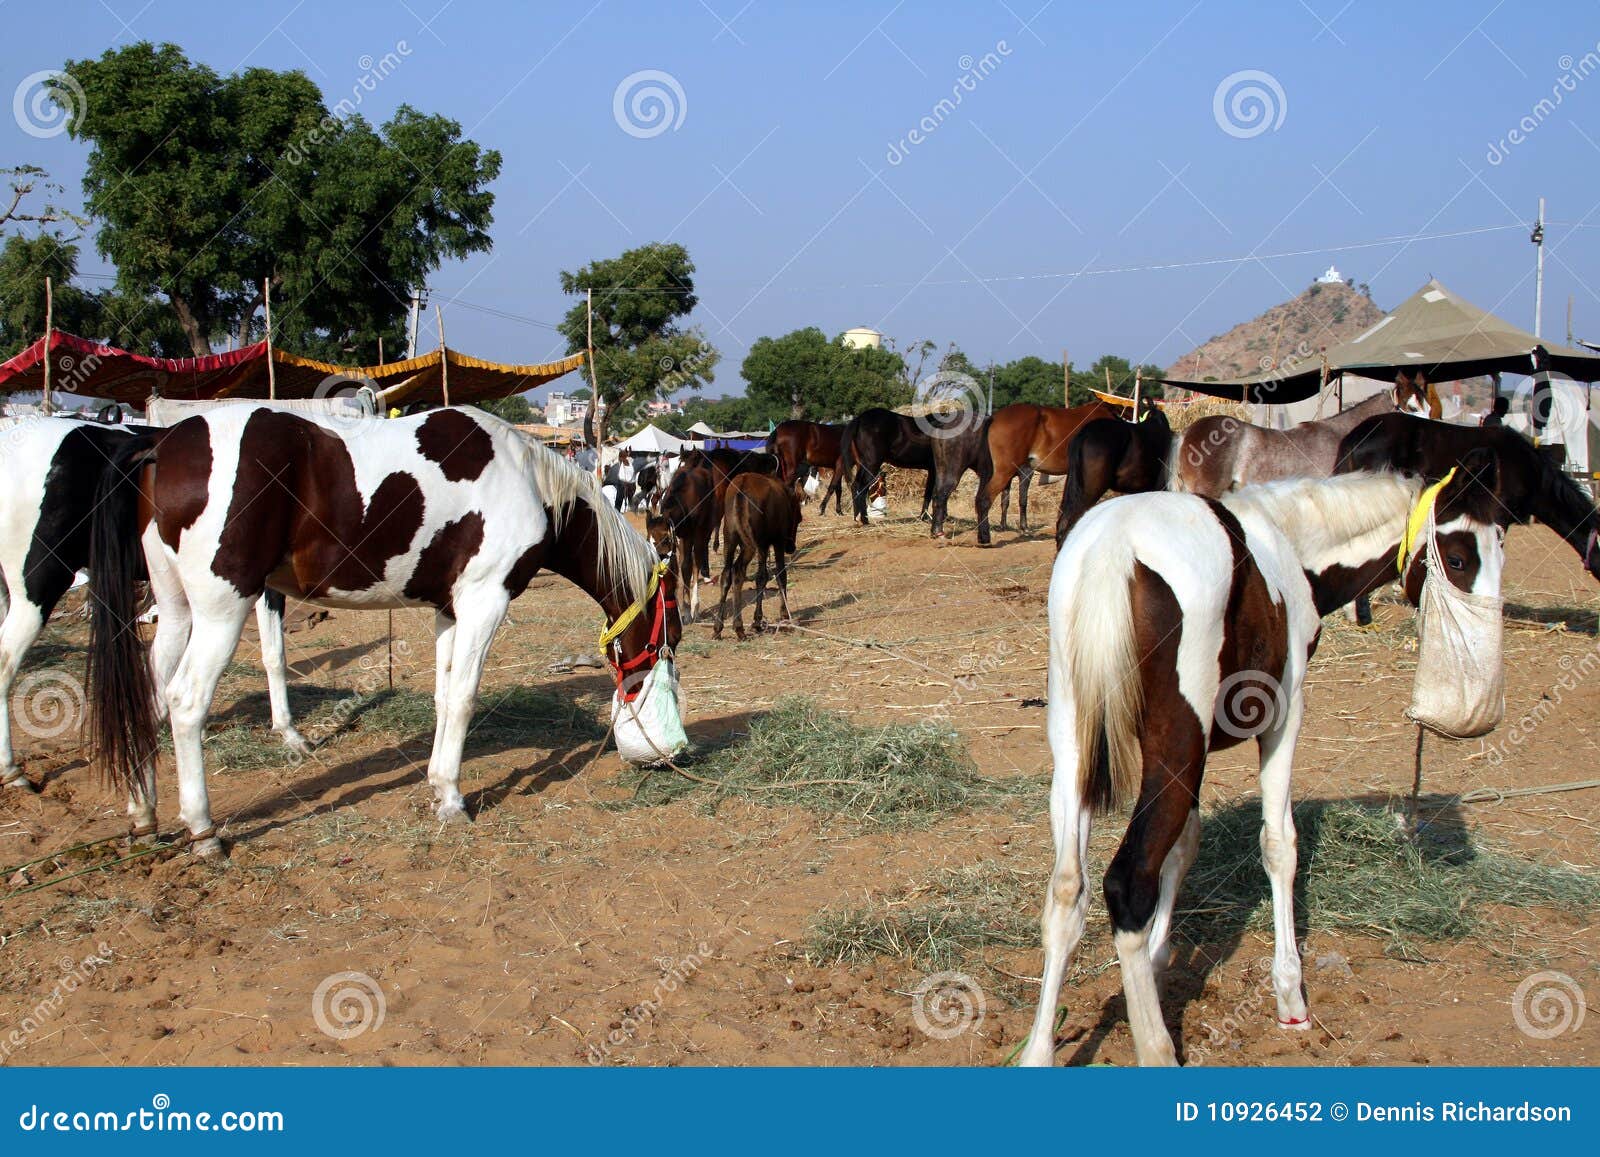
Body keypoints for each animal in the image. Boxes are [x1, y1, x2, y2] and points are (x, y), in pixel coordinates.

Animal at [85, 406, 685, 859]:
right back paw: (203, 830)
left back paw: (144, 812)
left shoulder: (450, 610)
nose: (671, 752)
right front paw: (453, 800)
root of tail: (162, 445)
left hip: (176, 609)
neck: (528, 482)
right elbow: (463, 698)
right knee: (185, 702)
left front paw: (439, 784)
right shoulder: (485, 601)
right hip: (221, 610)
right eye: (671, 635)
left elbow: (444, 696)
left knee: (149, 696)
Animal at [713, 473, 801, 640]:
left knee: (728, 574)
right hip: (755, 543)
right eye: (799, 518)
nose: (791, 547)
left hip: (730, 538)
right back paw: (747, 624)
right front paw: (781, 615)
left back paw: (721, 627)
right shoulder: (776, 541)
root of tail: (740, 489)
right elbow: (778, 575)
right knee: (749, 573)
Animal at [1018, 452, 1507, 1067]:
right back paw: (1156, 1048)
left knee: (1067, 890)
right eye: (1460, 559)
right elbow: (1279, 845)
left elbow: (1185, 845)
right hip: (1173, 744)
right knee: (1127, 883)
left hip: (1078, 746)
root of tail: (1115, 551)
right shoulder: (1282, 716)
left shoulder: (1193, 754)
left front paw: (1158, 964)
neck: (1288, 542)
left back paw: (1039, 1050)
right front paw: (1290, 993)